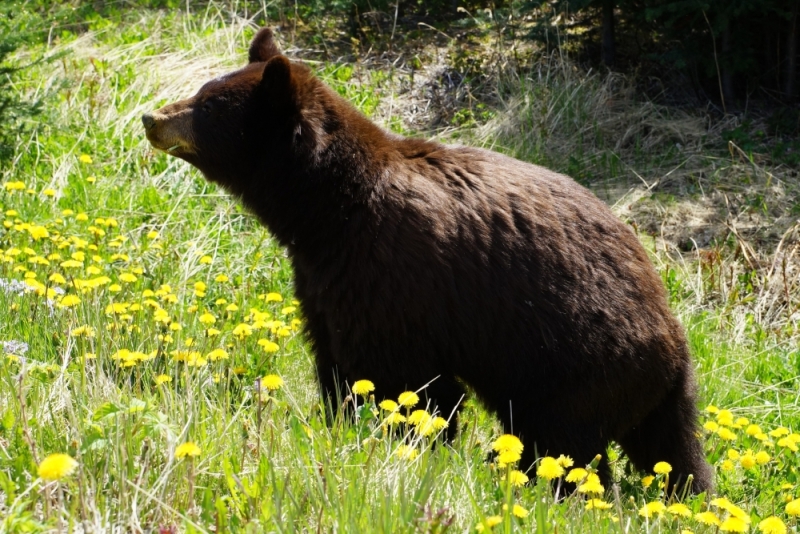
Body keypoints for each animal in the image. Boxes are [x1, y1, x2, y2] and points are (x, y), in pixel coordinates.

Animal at [142, 26, 712, 494]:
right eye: (203, 90)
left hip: (573, 367)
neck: (330, 209)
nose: (152, 117)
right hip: (654, 394)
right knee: (676, 451)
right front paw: (340, 426)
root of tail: (673, 341)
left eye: (209, 107)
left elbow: (406, 379)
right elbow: (336, 363)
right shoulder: (325, 282)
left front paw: (406, 443)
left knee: (562, 445)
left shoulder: (394, 274)